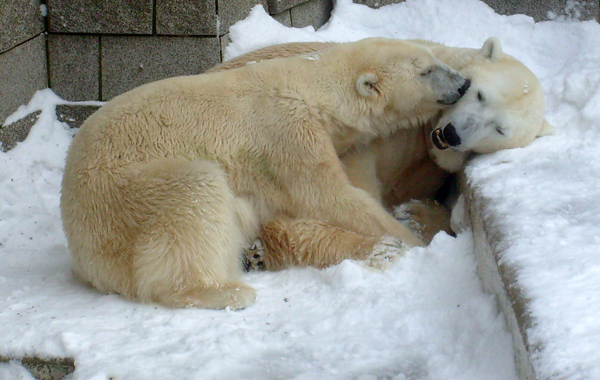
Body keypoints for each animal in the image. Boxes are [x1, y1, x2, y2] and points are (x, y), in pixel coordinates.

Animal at [59, 37, 468, 308]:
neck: (309, 88)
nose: (463, 83)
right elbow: (328, 197)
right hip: (121, 198)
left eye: (435, 59)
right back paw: (225, 290)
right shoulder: (285, 135)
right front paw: (408, 241)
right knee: (193, 195)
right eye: (426, 70)